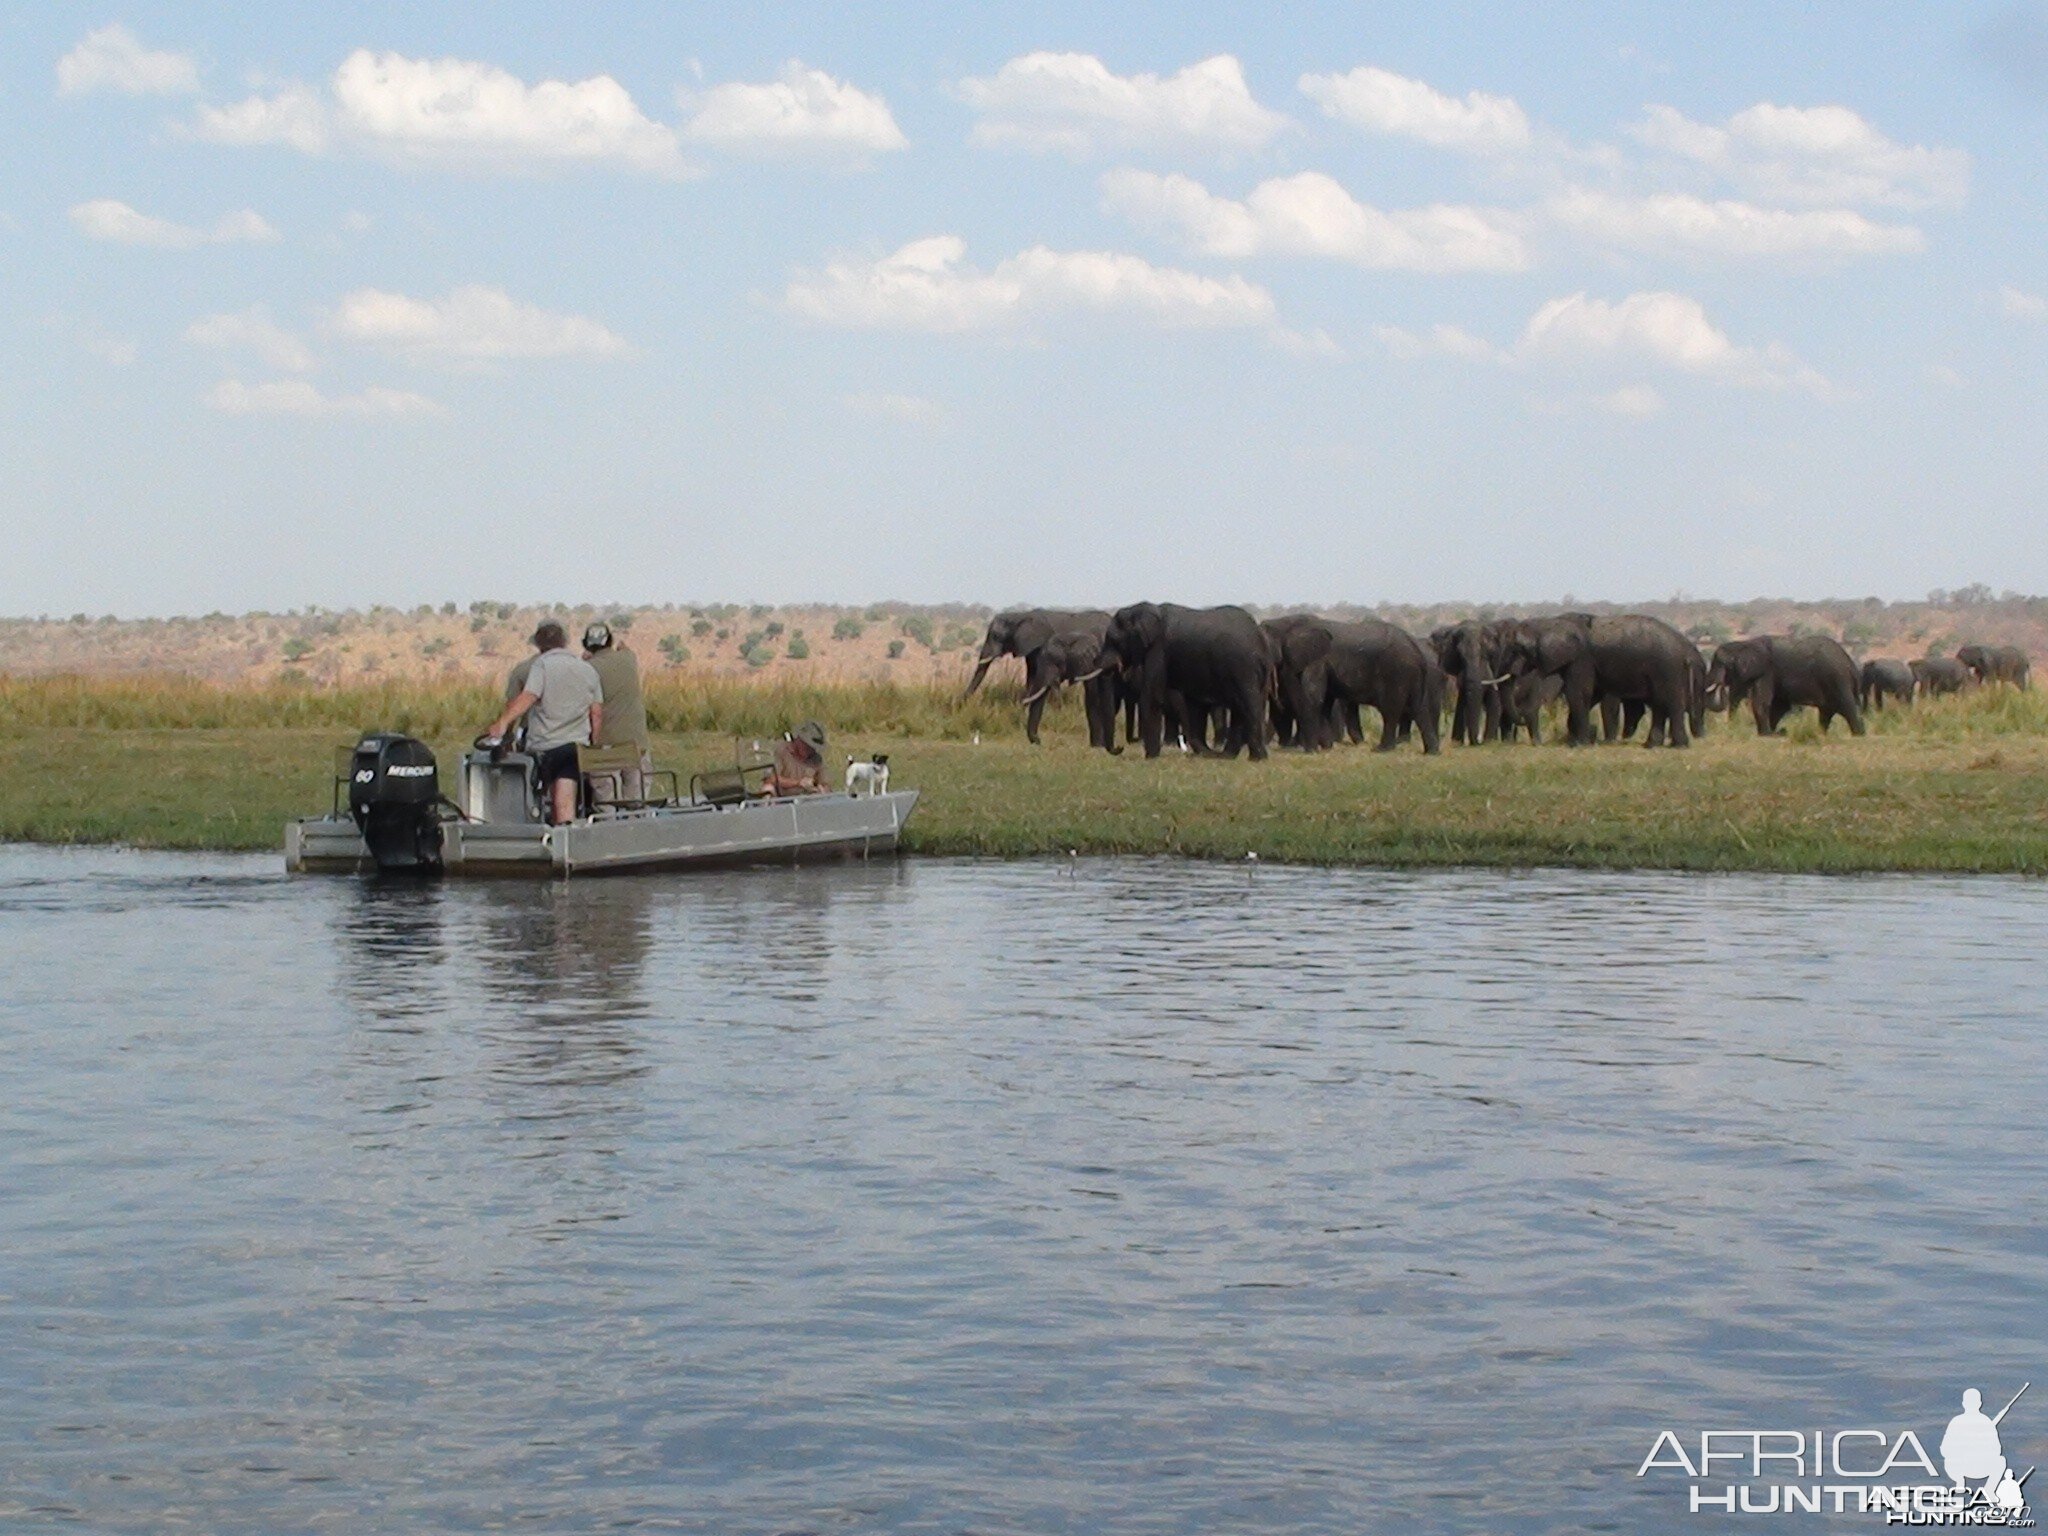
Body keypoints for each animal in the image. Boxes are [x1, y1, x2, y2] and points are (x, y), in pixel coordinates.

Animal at [1105, 606, 1261, 765]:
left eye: (1114, 641)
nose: (1120, 747)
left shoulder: (1158, 650)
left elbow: (1151, 698)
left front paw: (1151, 758)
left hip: (1241, 668)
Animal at [1499, 618, 1703, 753]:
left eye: (1516, 649)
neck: (1549, 623)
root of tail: (1689, 652)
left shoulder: (1581, 659)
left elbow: (1578, 693)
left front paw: (1579, 744)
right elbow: (1590, 694)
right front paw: (1578, 740)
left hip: (1668, 668)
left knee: (1670, 703)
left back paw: (1678, 747)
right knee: (1660, 704)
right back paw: (1652, 746)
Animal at [1703, 634, 1867, 737]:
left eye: (1720, 664)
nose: (1720, 686)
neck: (1745, 644)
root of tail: (1851, 666)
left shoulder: (1766, 672)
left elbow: (1762, 702)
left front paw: (1766, 734)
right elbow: (1779, 705)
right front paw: (1770, 733)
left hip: (1838, 681)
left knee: (1847, 708)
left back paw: (1858, 735)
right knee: (1827, 713)